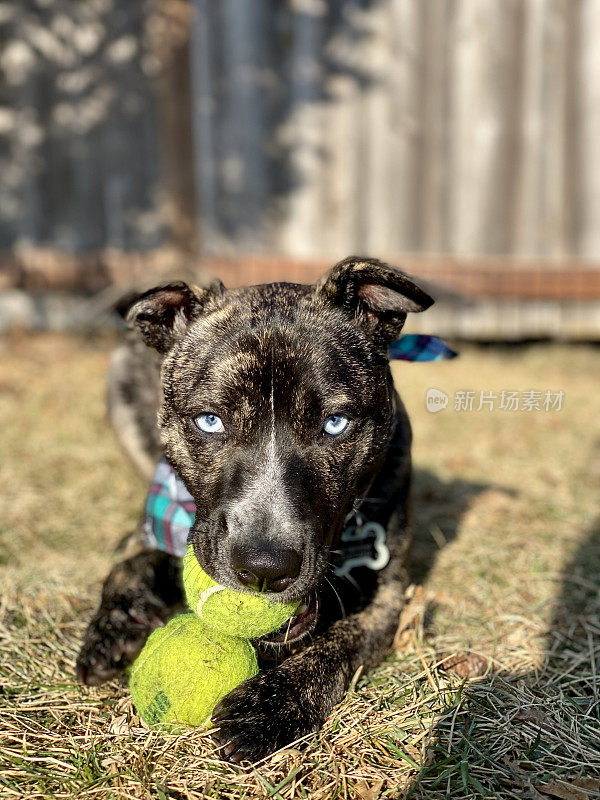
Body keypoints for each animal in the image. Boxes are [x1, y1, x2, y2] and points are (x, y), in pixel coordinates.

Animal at [76, 256, 432, 764]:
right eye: (210, 421)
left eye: (335, 424)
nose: (265, 567)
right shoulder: (155, 525)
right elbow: (126, 563)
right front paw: (111, 627)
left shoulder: (390, 593)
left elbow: (339, 642)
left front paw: (270, 706)